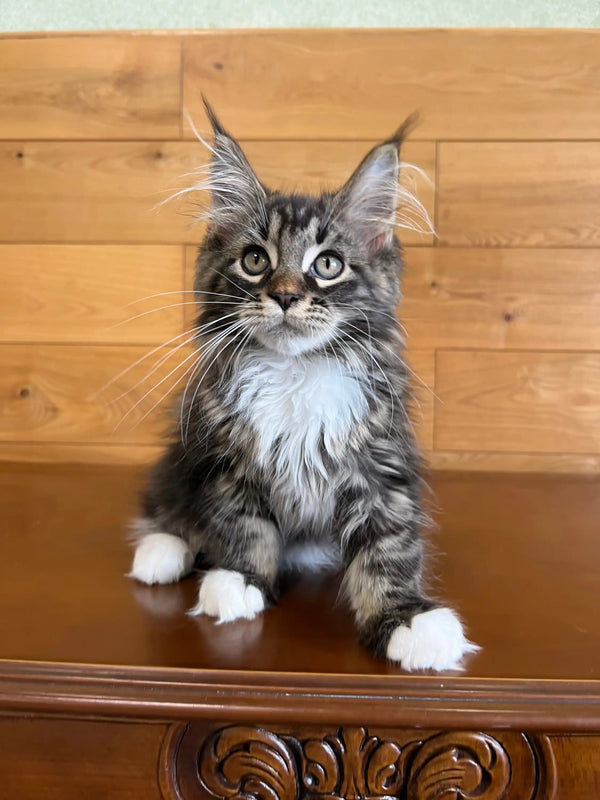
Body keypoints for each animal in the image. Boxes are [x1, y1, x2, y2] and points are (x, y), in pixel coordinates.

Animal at [131, 103, 478, 672]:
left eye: (328, 264)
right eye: (255, 260)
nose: (287, 296)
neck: (295, 373)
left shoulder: (380, 464)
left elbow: (389, 547)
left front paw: (408, 620)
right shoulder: (227, 461)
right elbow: (243, 525)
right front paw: (241, 580)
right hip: (183, 454)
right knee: (168, 503)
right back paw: (162, 551)